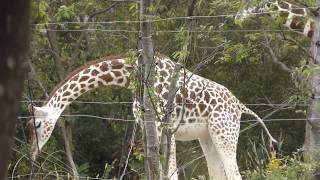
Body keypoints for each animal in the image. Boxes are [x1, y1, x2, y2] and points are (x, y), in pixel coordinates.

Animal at [26, 54, 276, 179]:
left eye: (36, 125)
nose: (32, 154)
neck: (131, 77)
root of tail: (240, 105)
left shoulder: (166, 125)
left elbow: (171, 173)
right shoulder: (147, 127)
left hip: (225, 132)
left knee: (234, 173)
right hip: (207, 136)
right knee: (217, 173)